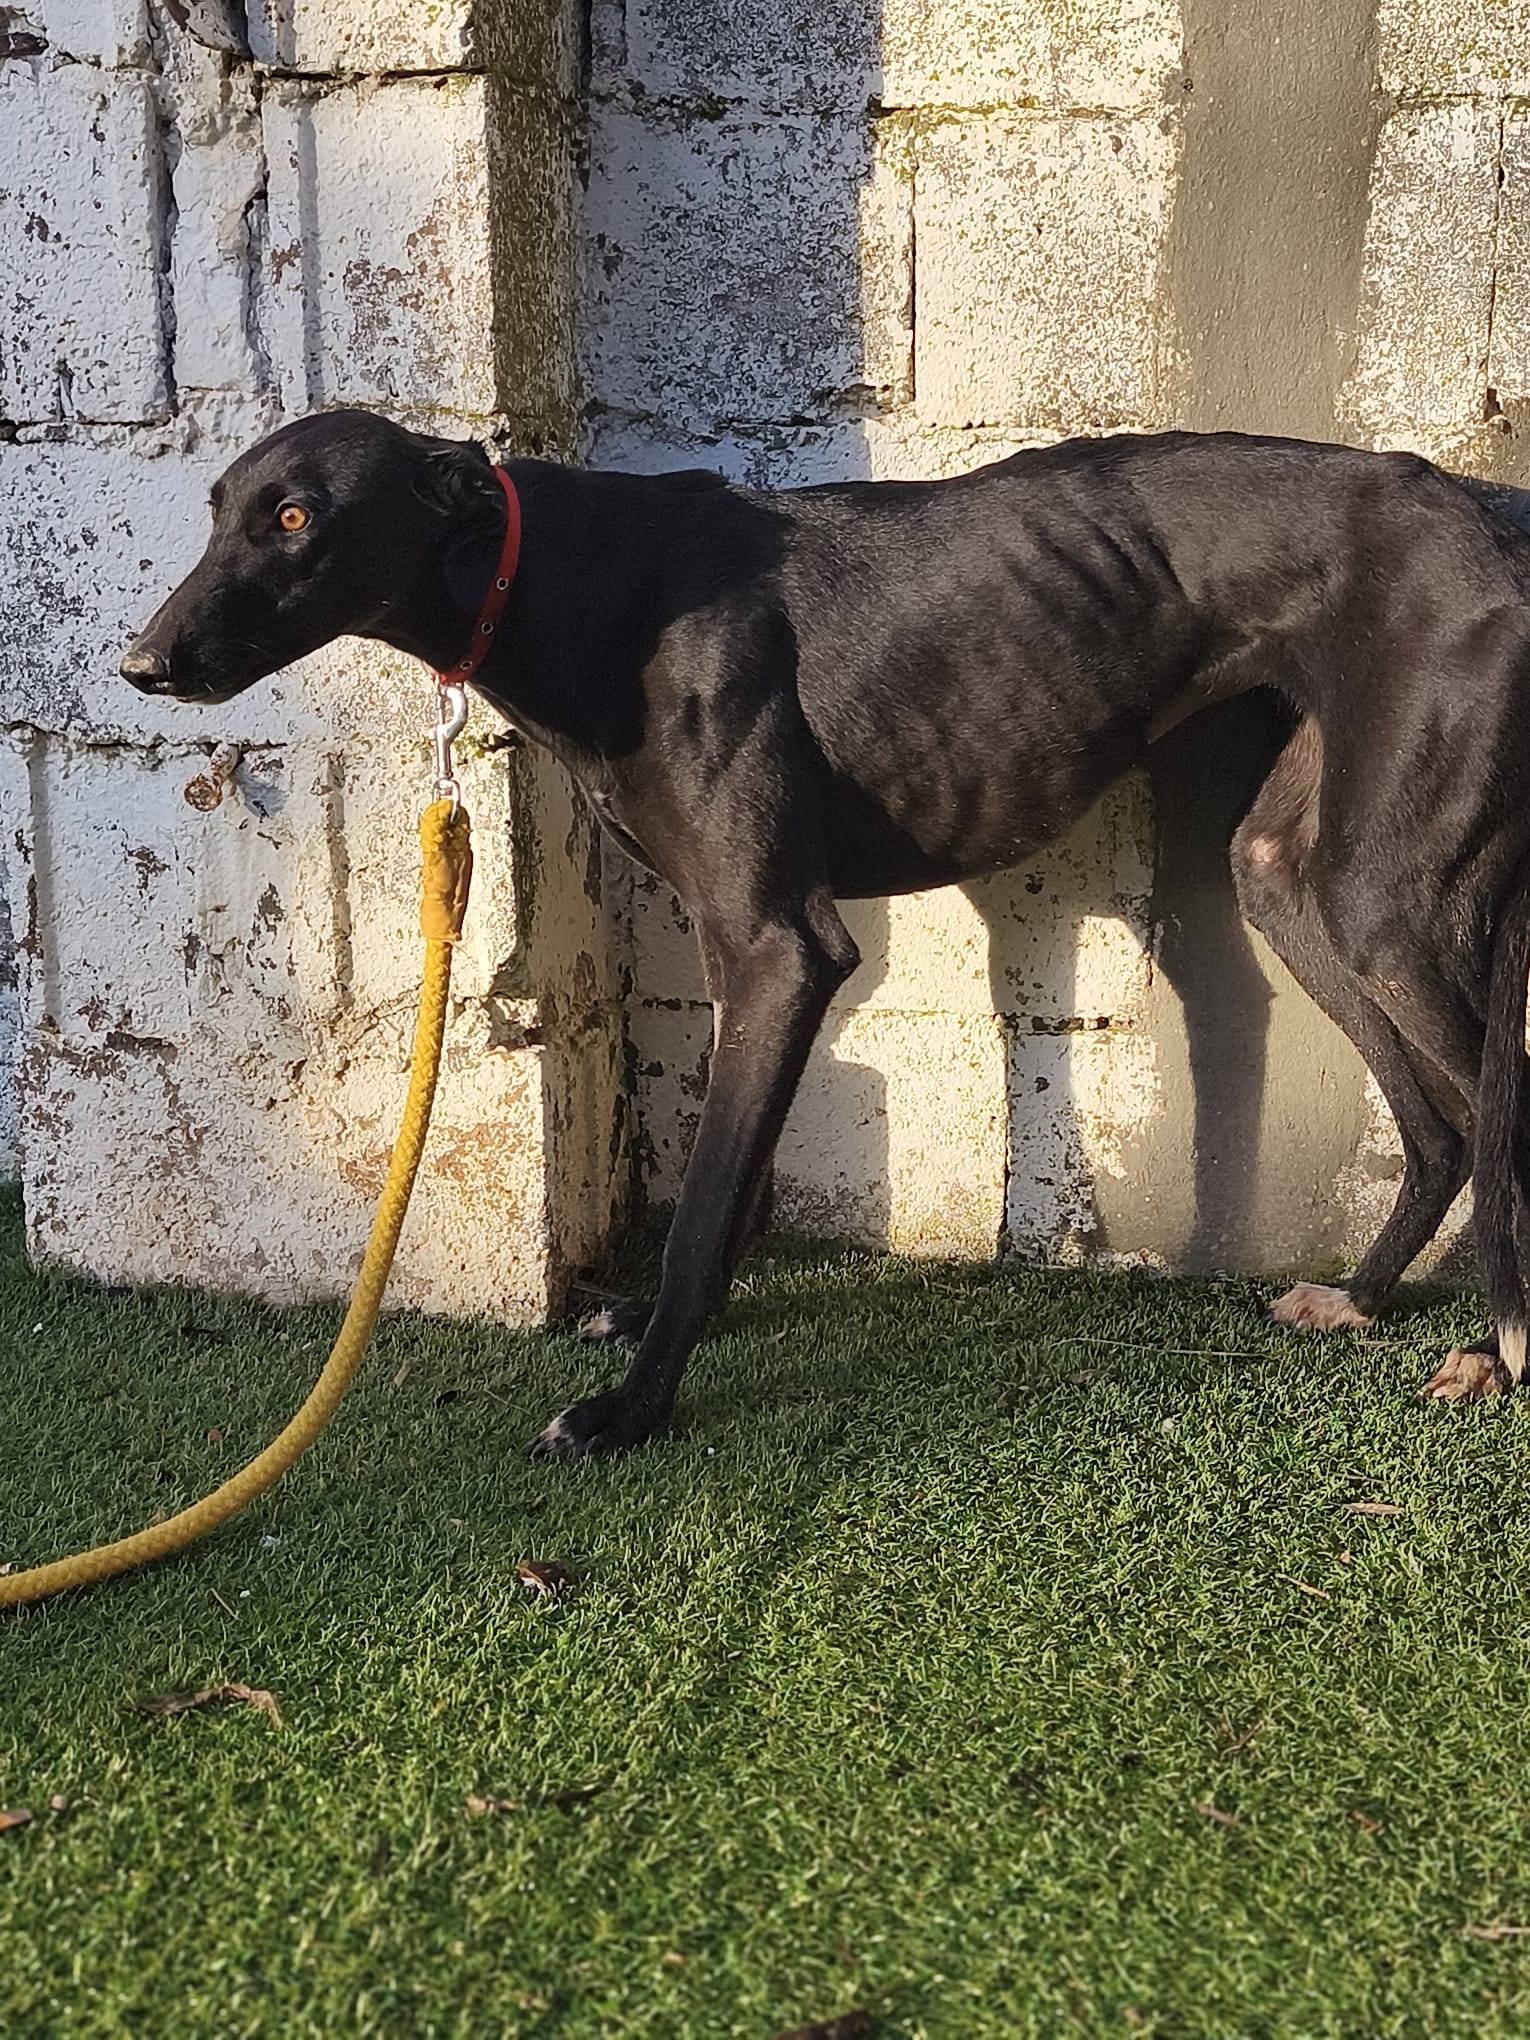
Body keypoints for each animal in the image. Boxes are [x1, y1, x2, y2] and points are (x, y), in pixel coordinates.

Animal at [120, 409, 1530, 1454]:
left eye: (296, 517)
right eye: (216, 508)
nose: (142, 664)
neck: (571, 579)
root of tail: (1488, 524)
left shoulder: (776, 943)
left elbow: (701, 1205)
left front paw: (631, 1412)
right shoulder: (752, 951)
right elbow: (734, 1179)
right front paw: (644, 1337)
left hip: (1385, 898)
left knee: (1488, 1109)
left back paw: (1491, 1349)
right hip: (1294, 879)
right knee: (1441, 1124)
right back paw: (1361, 1296)